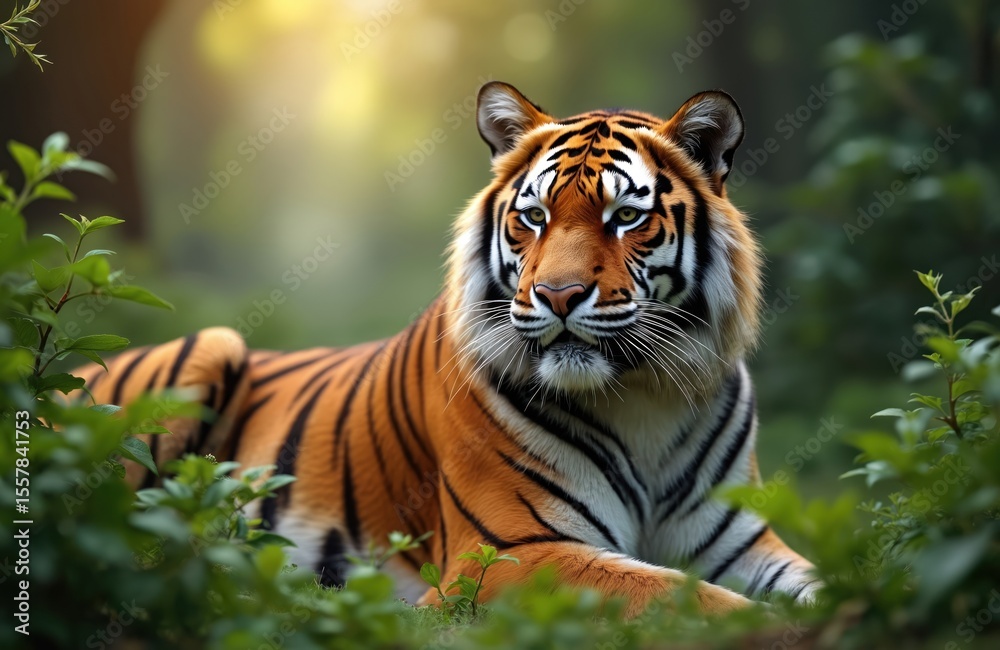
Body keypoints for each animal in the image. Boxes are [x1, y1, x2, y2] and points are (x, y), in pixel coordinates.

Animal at [75, 81, 821, 617]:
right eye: (534, 217)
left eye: (626, 218)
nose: (558, 296)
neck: (644, 393)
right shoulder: (512, 551)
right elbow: (678, 594)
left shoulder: (743, 540)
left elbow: (820, 577)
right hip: (208, 351)